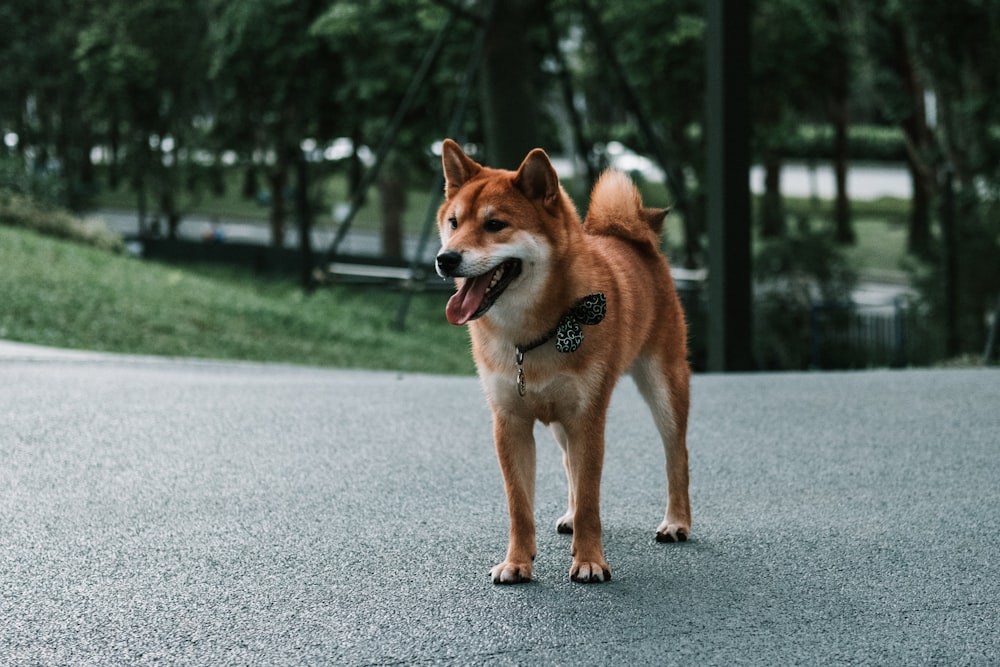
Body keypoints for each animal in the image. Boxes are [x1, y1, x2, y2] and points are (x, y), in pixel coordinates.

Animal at [434, 141, 692, 584]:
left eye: (495, 224)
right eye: (454, 222)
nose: (445, 258)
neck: (528, 337)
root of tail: (633, 239)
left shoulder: (587, 419)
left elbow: (591, 500)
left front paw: (589, 561)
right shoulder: (510, 424)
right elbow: (520, 507)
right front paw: (517, 563)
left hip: (664, 390)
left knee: (677, 456)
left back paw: (677, 522)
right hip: (560, 424)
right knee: (569, 464)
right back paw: (569, 517)